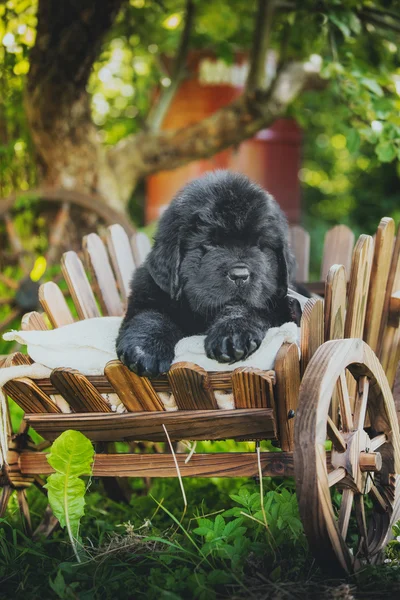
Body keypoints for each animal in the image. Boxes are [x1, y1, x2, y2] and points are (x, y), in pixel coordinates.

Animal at [115, 170, 296, 376]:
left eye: (259, 245)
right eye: (210, 243)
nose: (239, 275)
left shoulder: (273, 303)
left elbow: (244, 308)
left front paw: (231, 336)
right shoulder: (147, 293)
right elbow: (151, 316)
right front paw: (144, 350)